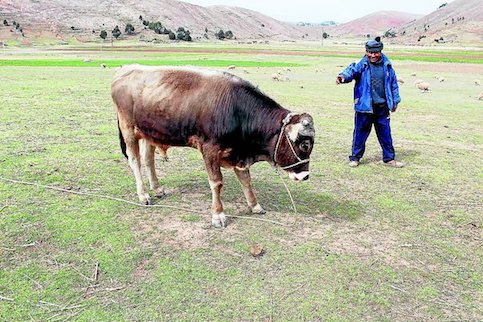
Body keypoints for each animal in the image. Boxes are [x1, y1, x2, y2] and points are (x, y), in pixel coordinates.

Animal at [113, 64, 318, 228]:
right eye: (305, 144)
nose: (305, 176)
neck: (237, 110)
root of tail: (125, 70)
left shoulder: (238, 155)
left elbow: (246, 180)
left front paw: (254, 205)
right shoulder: (210, 150)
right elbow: (217, 182)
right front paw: (218, 215)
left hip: (150, 134)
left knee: (149, 160)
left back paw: (157, 189)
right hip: (128, 129)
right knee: (135, 161)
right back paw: (143, 195)